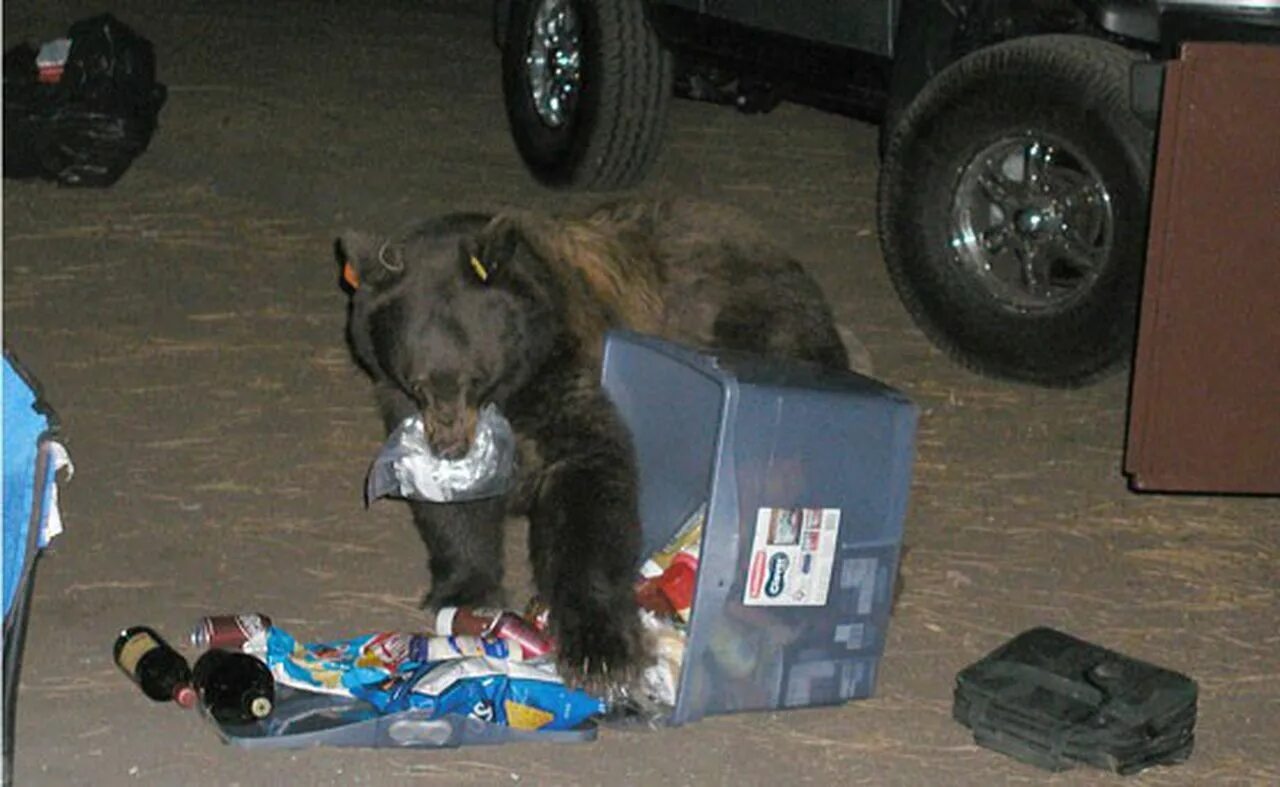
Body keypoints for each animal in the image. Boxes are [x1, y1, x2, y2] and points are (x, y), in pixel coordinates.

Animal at [340, 198, 865, 696]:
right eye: (417, 381)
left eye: (475, 376)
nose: (451, 446)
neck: (514, 389)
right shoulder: (401, 402)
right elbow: (451, 509)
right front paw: (465, 591)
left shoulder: (566, 374)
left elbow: (589, 492)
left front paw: (599, 650)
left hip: (766, 326)